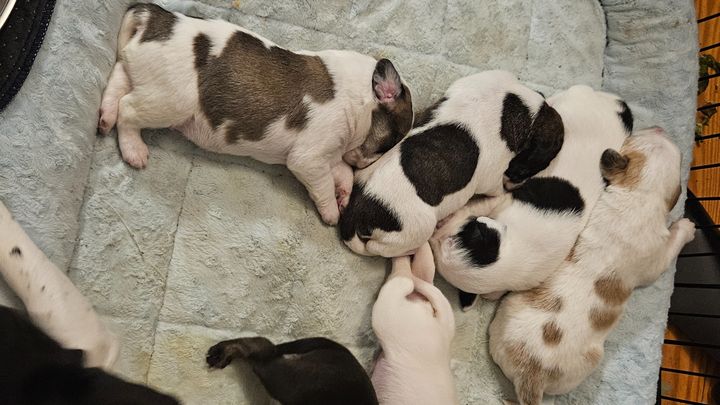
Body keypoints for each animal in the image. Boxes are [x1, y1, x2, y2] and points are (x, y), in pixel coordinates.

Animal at [99, 3, 413, 225]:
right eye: (389, 142)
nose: (370, 161)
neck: (359, 95)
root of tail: (157, 18)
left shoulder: (329, 156)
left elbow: (343, 173)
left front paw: (344, 196)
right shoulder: (309, 160)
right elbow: (325, 183)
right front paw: (332, 213)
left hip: (144, 75)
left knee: (119, 79)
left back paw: (105, 116)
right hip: (171, 100)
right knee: (128, 109)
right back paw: (134, 150)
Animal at [339, 70, 563, 257]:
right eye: (526, 170)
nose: (517, 181)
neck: (519, 105)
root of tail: (357, 215)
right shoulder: (492, 180)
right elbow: (497, 188)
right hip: (415, 230)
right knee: (379, 249)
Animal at [430, 86, 633, 308]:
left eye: (469, 229)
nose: (435, 236)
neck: (513, 258)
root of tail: (617, 107)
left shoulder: (501, 203)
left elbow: (473, 208)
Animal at [488, 129, 695, 405]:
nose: (659, 128)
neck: (639, 193)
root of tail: (529, 375)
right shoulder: (657, 257)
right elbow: (671, 245)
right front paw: (686, 227)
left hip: (508, 313)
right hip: (588, 363)